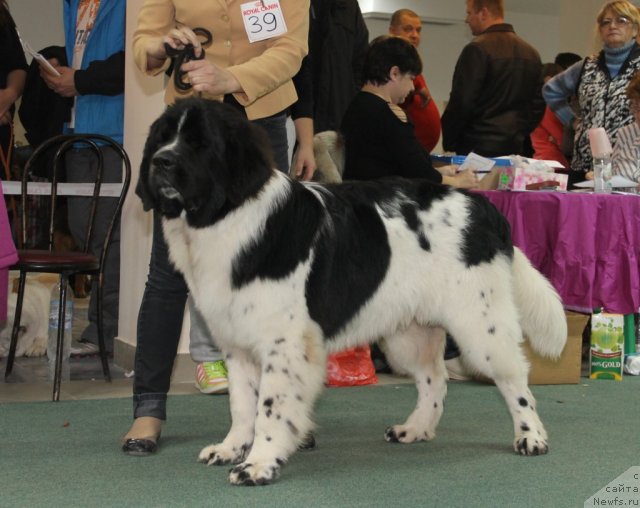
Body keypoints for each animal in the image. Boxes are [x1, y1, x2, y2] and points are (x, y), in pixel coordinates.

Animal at [139, 98, 564, 484]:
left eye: (200, 144)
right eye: (162, 138)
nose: (160, 162)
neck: (229, 216)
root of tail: (483, 207)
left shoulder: (284, 344)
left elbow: (270, 408)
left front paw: (259, 463)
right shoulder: (237, 343)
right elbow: (242, 404)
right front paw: (231, 448)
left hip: (480, 324)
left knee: (515, 378)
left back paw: (531, 437)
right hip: (408, 332)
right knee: (434, 377)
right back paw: (416, 429)